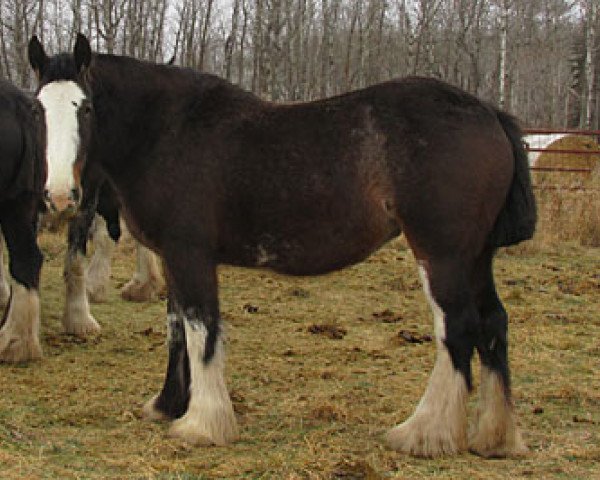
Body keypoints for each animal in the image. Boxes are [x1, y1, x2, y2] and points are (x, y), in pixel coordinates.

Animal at [28, 32, 536, 458]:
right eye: (37, 110)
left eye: (85, 107)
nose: (60, 195)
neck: (167, 132)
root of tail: (489, 114)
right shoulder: (173, 259)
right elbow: (176, 328)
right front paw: (170, 404)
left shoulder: (190, 254)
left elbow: (200, 330)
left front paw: (203, 424)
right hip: (476, 257)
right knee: (493, 322)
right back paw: (494, 437)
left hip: (442, 255)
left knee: (458, 328)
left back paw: (424, 433)